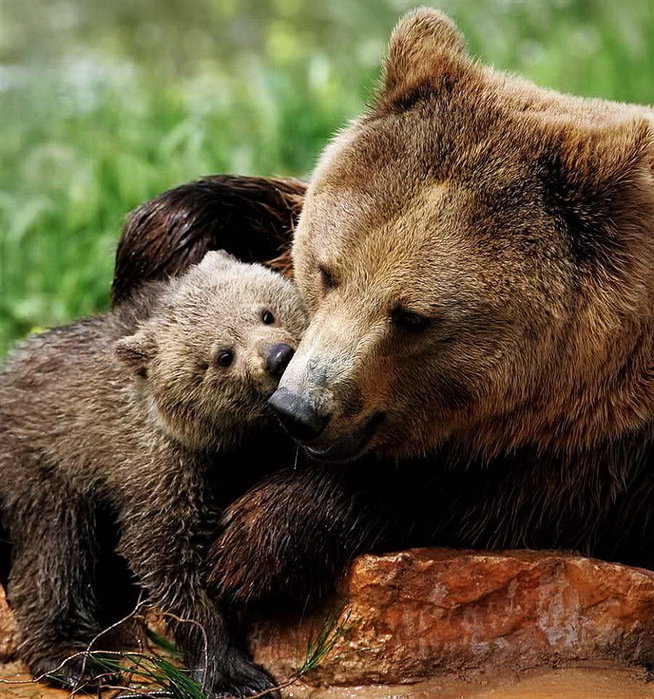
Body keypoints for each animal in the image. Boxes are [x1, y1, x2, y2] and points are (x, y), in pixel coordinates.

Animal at [0, 250, 307, 697]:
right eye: (223, 355)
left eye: (266, 312)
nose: (279, 356)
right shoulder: (157, 468)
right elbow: (167, 559)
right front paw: (233, 672)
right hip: (41, 467)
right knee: (53, 555)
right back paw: (75, 660)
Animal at [111, 10, 653, 616]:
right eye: (327, 271)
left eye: (412, 317)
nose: (298, 408)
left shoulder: (605, 461)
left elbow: (468, 491)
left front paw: (249, 544)